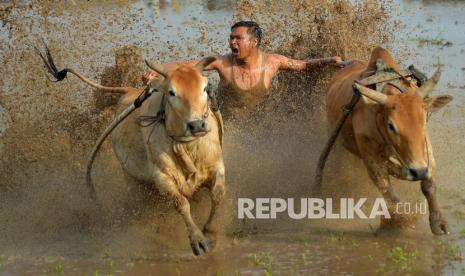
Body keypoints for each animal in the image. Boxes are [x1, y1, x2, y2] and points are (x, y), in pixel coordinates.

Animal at [36, 44, 225, 254]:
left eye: (205, 88)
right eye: (171, 92)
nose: (197, 124)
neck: (188, 145)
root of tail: (129, 90)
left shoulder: (217, 165)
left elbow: (218, 194)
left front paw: (211, 233)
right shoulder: (162, 178)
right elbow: (182, 204)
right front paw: (197, 239)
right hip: (132, 181)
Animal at [324, 47, 452, 235]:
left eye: (424, 120)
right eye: (391, 126)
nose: (418, 171)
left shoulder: (425, 151)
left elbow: (429, 185)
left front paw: (439, 223)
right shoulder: (371, 160)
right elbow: (389, 194)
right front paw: (398, 222)